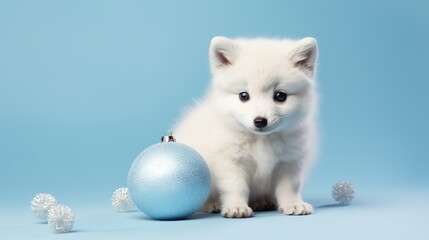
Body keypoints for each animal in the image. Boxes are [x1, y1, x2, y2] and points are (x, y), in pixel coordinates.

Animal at [172, 36, 316, 218]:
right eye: (243, 95)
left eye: (280, 96)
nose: (260, 121)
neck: (262, 140)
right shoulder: (230, 161)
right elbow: (236, 187)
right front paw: (236, 207)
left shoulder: (289, 161)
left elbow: (290, 187)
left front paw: (293, 204)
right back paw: (214, 204)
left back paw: (260, 201)